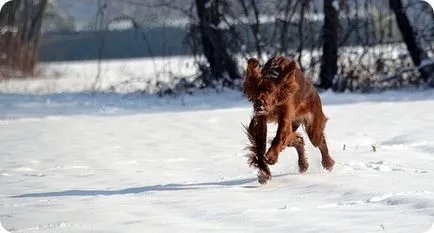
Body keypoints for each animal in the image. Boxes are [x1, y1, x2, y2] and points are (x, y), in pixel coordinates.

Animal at [242, 55, 334, 183]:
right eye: (256, 91)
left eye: (270, 91)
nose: (258, 103)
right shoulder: (261, 119)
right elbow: (260, 145)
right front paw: (264, 173)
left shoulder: (285, 116)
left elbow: (279, 137)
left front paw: (271, 156)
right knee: (298, 140)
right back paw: (303, 164)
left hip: (313, 126)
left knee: (320, 142)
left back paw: (328, 163)